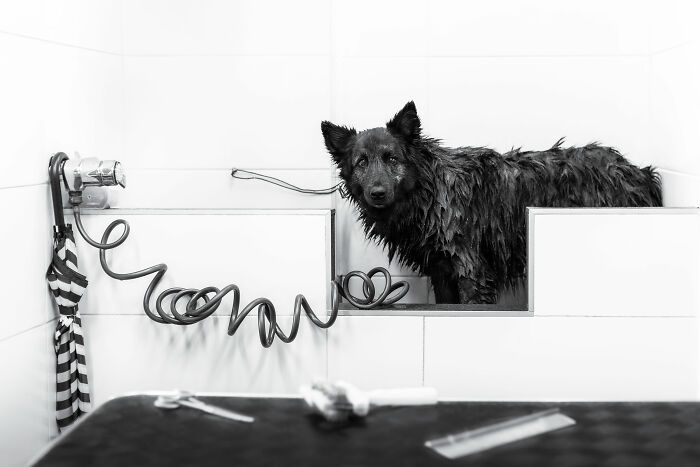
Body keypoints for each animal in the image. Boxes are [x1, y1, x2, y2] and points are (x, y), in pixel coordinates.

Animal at [322, 103, 660, 306]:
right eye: (361, 162)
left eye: (392, 158)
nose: (377, 193)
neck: (430, 192)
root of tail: (639, 171)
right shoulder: (441, 271)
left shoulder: (471, 268)